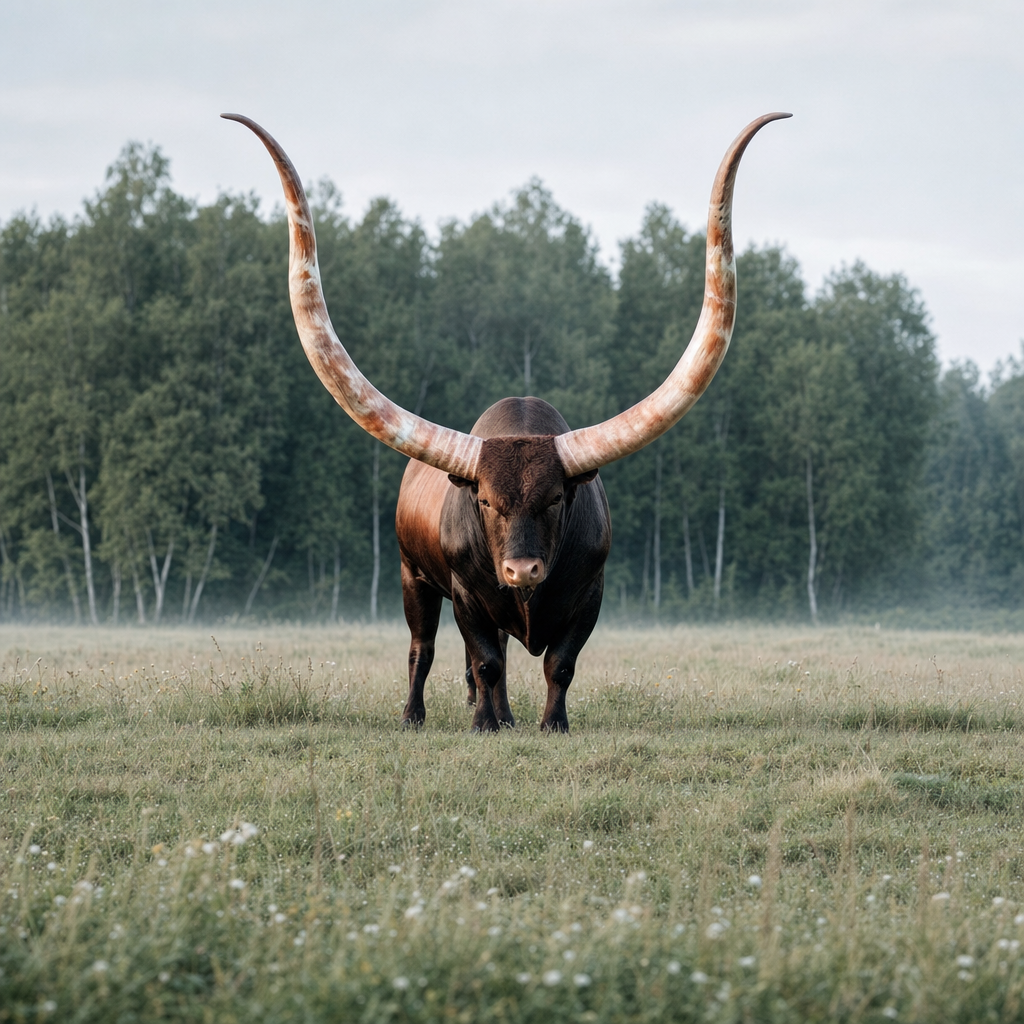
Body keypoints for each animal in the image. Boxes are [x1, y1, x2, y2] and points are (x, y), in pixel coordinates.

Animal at [224, 111, 790, 732]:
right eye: (487, 501)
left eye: (556, 499)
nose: (522, 570)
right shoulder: (467, 597)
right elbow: (487, 662)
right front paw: (485, 725)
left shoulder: (590, 597)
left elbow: (558, 665)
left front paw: (550, 724)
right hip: (412, 578)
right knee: (424, 650)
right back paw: (418, 716)